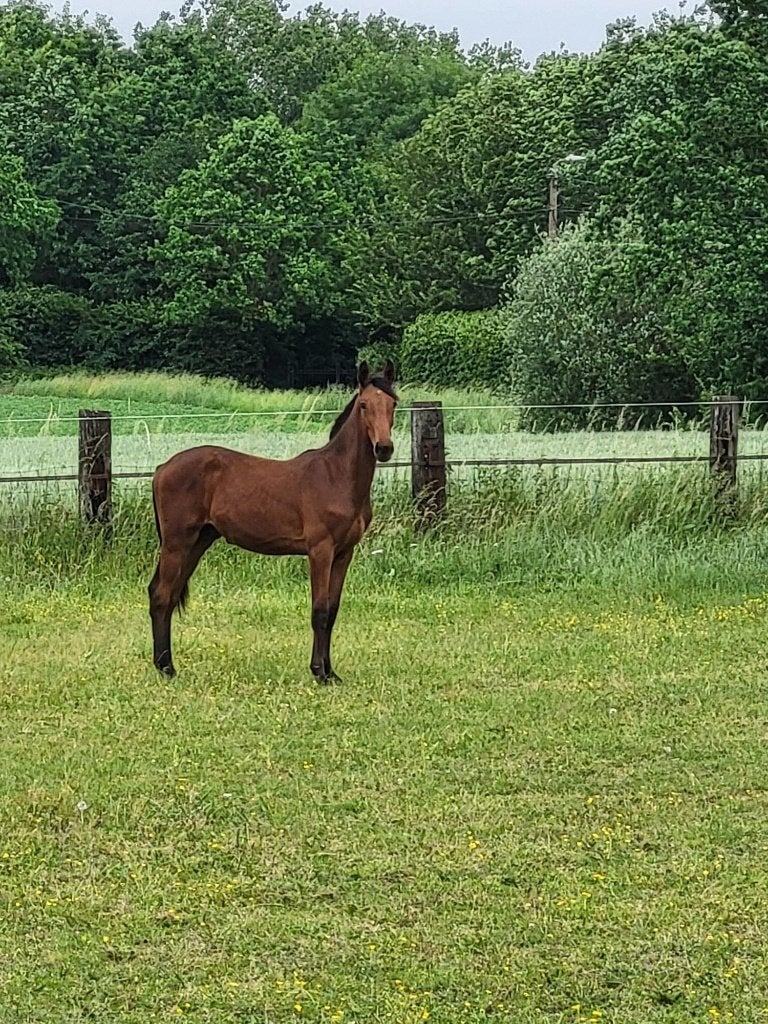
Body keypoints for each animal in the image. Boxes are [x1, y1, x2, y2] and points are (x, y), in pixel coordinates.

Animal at [148, 361, 398, 683]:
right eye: (365, 405)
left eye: (393, 403)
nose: (384, 448)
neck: (336, 476)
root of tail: (162, 468)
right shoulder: (320, 551)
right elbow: (319, 611)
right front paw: (319, 673)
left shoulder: (344, 554)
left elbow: (332, 611)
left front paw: (331, 672)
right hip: (177, 543)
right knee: (161, 595)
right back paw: (166, 668)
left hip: (198, 542)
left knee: (166, 594)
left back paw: (165, 664)